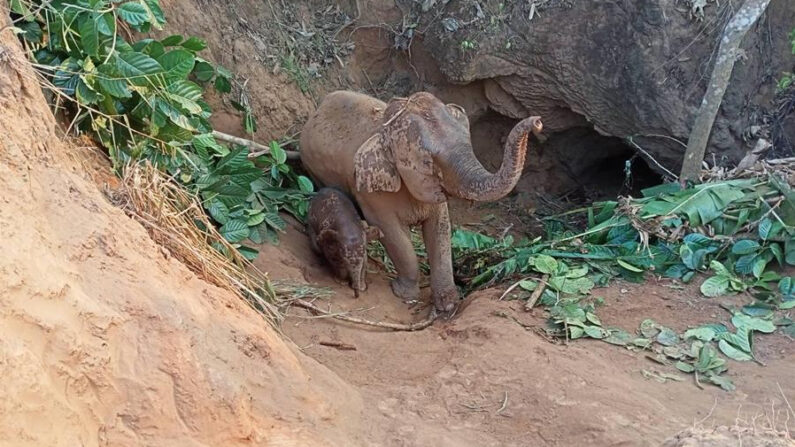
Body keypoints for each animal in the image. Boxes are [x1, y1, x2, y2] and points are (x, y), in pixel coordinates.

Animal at [302, 91, 544, 314]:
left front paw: (447, 305)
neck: (384, 129)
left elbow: (440, 230)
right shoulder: (371, 193)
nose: (538, 122)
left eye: (469, 144)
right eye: (428, 162)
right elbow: (392, 234)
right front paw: (404, 294)